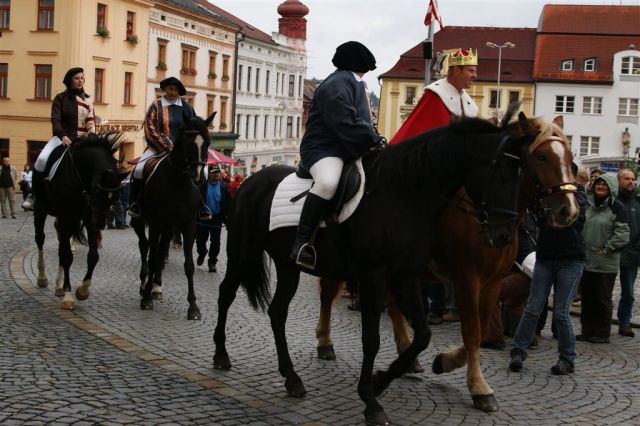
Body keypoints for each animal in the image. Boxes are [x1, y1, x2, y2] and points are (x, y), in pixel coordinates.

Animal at [33, 133, 127, 310]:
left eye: (116, 195)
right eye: (98, 193)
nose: (100, 224)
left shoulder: (88, 219)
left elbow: (93, 256)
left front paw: (82, 290)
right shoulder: (67, 216)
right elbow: (67, 256)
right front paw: (68, 296)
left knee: (60, 245)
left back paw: (58, 286)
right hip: (41, 209)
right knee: (40, 239)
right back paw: (42, 278)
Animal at [130, 111, 215, 318]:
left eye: (207, 142)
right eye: (187, 141)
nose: (198, 176)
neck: (178, 183)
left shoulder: (189, 225)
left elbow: (188, 265)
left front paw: (193, 307)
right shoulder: (155, 223)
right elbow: (152, 258)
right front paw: (146, 299)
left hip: (169, 228)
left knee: (160, 252)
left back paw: (156, 287)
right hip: (141, 223)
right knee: (145, 248)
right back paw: (145, 284)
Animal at [211, 116, 540, 426]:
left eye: (525, 173)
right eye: (504, 174)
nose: (504, 237)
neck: (404, 196)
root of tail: (250, 181)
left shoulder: (406, 277)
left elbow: (423, 336)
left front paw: (381, 381)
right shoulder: (374, 276)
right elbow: (371, 340)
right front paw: (370, 401)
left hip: (288, 265)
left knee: (277, 312)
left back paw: (292, 379)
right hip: (241, 251)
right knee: (226, 294)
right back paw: (221, 354)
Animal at [312, 112, 576, 412]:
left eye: (571, 159)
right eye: (541, 157)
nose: (568, 211)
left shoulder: (493, 282)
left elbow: (482, 325)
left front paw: (445, 362)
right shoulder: (466, 278)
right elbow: (472, 330)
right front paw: (478, 386)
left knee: (392, 305)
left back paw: (407, 356)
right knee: (328, 294)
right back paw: (326, 341)